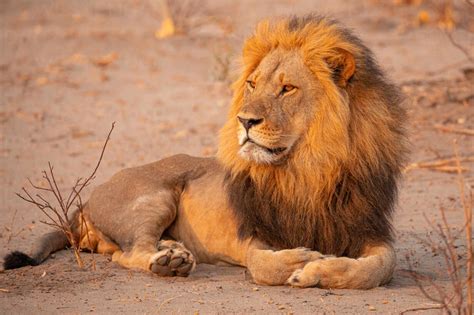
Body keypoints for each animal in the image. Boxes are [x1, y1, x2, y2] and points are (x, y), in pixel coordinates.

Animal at [1, 15, 406, 292]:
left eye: (288, 88)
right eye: (252, 84)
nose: (245, 120)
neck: (307, 168)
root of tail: (83, 203)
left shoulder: (367, 228)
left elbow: (379, 267)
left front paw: (320, 271)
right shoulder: (254, 234)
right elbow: (263, 264)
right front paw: (303, 260)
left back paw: (172, 250)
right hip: (153, 196)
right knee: (127, 252)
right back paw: (170, 261)